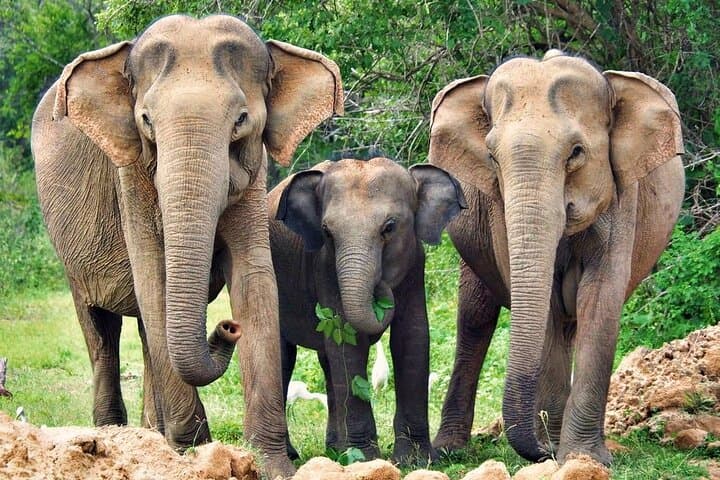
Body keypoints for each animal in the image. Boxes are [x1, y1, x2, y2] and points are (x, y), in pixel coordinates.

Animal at [31, 14, 343, 478]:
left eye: (241, 120)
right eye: (146, 120)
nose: (227, 327)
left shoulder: (254, 175)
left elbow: (255, 279)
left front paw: (272, 464)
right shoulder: (131, 177)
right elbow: (152, 276)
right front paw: (194, 453)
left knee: (144, 331)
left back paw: (151, 436)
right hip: (72, 257)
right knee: (101, 329)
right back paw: (111, 437)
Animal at [267, 157, 467, 464]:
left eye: (390, 227)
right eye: (327, 232)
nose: (381, 286)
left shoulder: (415, 264)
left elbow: (412, 337)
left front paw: (416, 460)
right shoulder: (325, 267)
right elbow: (347, 341)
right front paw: (365, 460)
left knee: (327, 363)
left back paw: (335, 449)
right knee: (284, 355)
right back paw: (296, 454)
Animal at [428, 50, 685, 465]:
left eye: (576, 153)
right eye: (491, 157)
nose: (542, 450)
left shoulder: (622, 196)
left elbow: (600, 297)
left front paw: (582, 457)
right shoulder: (498, 210)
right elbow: (544, 302)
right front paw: (558, 450)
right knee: (475, 317)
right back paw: (451, 450)